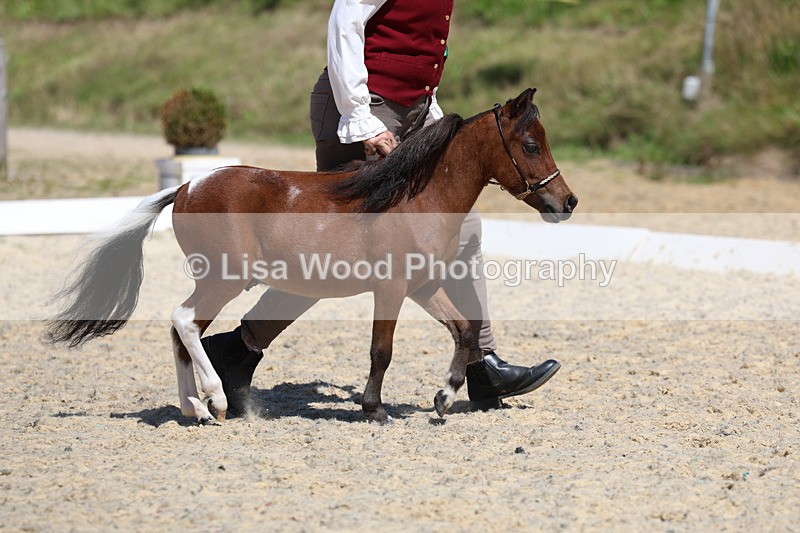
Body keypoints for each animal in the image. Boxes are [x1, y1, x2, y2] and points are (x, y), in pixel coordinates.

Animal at [47, 88, 578, 424]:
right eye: (531, 144)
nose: (567, 202)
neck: (416, 197)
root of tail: (186, 186)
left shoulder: (423, 286)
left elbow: (465, 330)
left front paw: (444, 399)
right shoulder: (391, 289)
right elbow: (381, 350)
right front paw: (374, 409)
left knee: (182, 330)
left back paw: (192, 408)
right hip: (224, 278)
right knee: (183, 321)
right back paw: (216, 401)